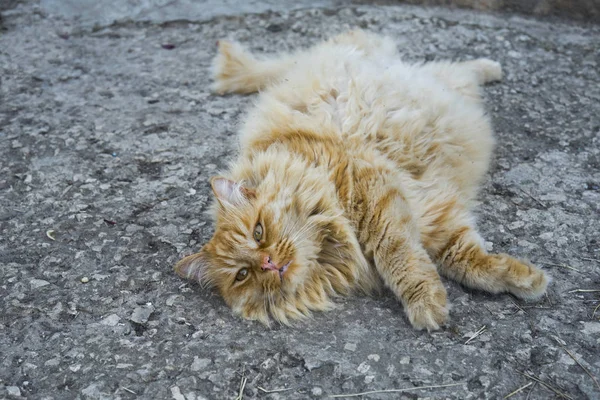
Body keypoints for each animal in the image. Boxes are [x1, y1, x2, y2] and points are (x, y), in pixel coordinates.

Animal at [173, 30, 548, 332]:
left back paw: (492, 66)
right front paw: (524, 278)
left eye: (258, 232)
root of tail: (299, 63)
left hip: (421, 76)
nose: (268, 263)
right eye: (243, 275)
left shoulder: (374, 195)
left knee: (455, 66)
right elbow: (466, 258)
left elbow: (401, 257)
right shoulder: (432, 215)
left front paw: (426, 303)